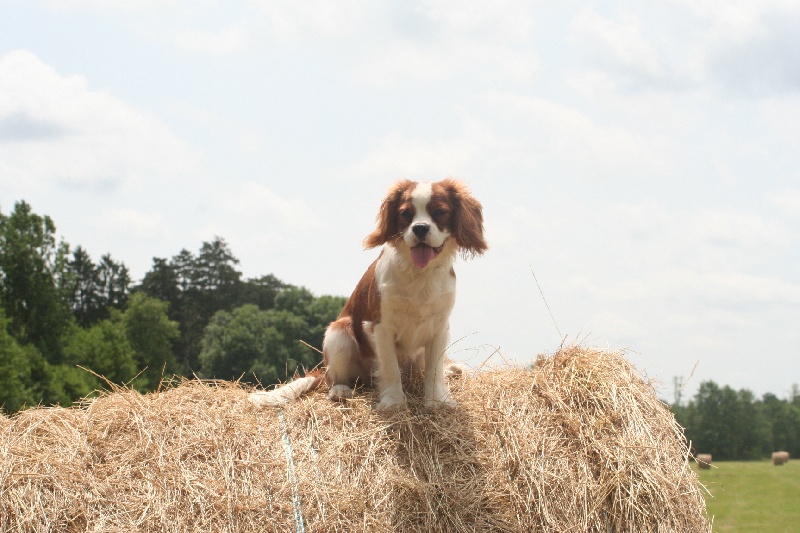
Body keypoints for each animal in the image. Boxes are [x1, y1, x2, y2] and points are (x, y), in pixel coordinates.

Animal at [250, 179, 488, 412]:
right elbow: (390, 367)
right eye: (405, 213)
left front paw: (438, 401)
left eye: (439, 212)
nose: (419, 228)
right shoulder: (381, 325)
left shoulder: (439, 327)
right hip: (339, 333)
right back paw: (341, 391)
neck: (420, 273)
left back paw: (452, 370)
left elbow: (434, 369)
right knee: (334, 379)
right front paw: (393, 402)